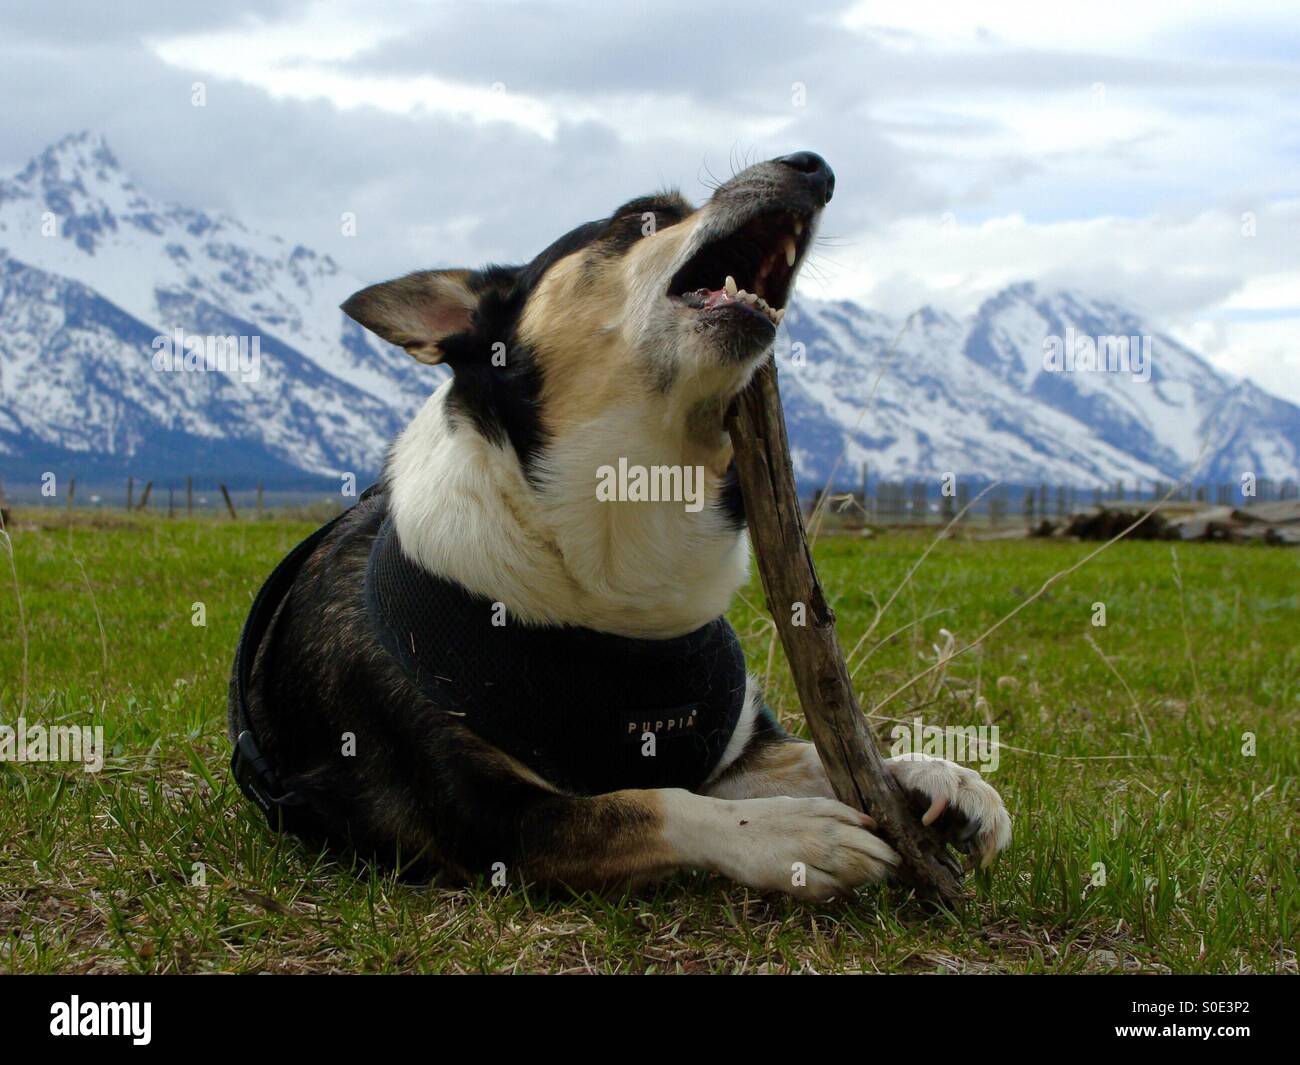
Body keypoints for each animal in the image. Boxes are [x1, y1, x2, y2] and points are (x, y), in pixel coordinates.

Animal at [228, 150, 1008, 899]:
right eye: (641, 217)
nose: (815, 167)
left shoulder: (729, 749)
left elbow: (819, 753)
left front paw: (931, 773)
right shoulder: (486, 823)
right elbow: (652, 801)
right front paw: (790, 834)